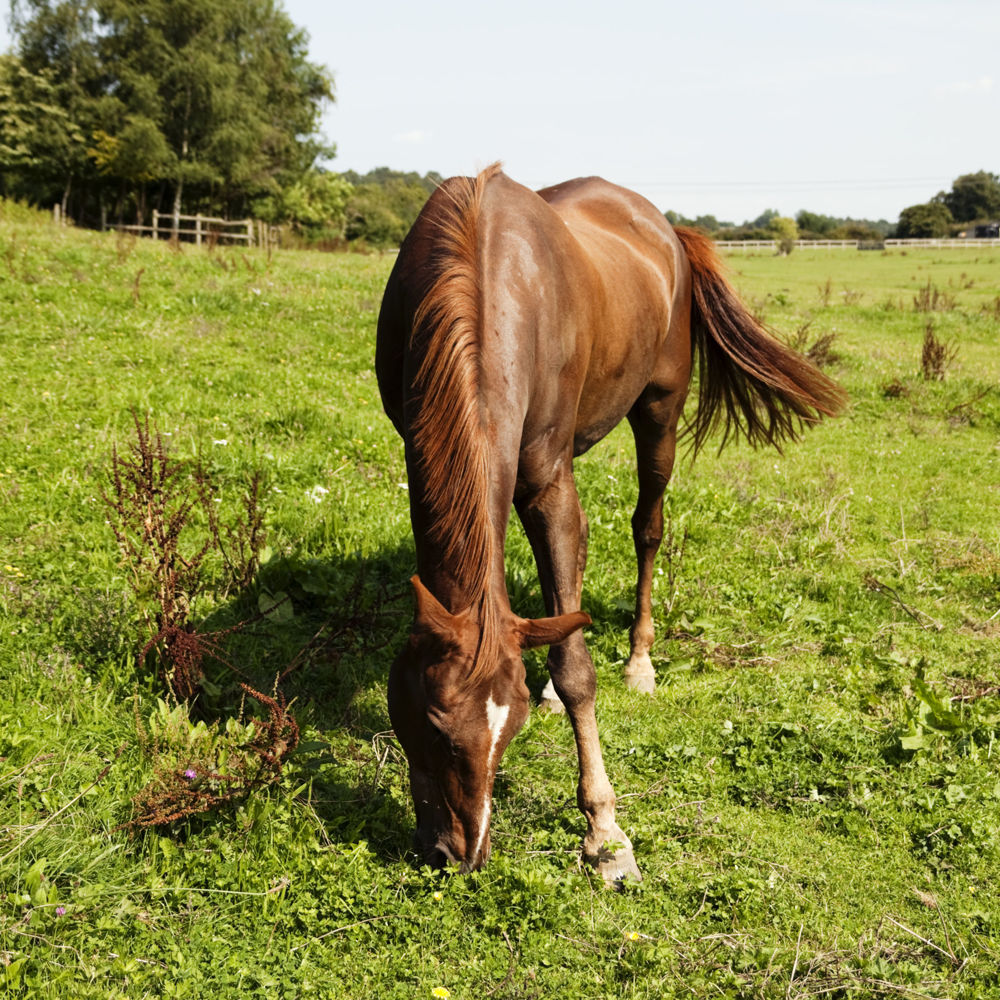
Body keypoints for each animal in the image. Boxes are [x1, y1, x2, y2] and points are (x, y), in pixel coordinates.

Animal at [375, 164, 844, 883]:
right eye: (429, 722)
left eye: (508, 732)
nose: (460, 854)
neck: (481, 270)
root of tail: (666, 230)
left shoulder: (545, 477)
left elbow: (578, 668)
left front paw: (605, 830)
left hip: (659, 413)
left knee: (646, 528)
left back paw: (640, 660)